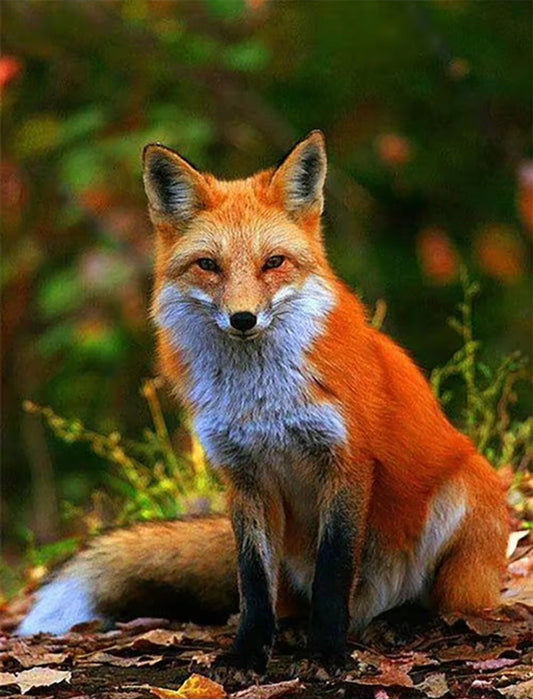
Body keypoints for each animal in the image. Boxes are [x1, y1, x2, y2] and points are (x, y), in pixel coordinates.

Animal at [19, 131, 508, 671]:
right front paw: (249, 652)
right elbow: (253, 582)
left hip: (460, 504)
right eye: (208, 265)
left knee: (441, 605)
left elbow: (334, 572)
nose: (243, 318)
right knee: (287, 596)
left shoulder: (347, 463)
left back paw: (403, 621)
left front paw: (328, 650)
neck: (261, 401)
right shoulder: (244, 476)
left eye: (273, 262)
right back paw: (296, 629)